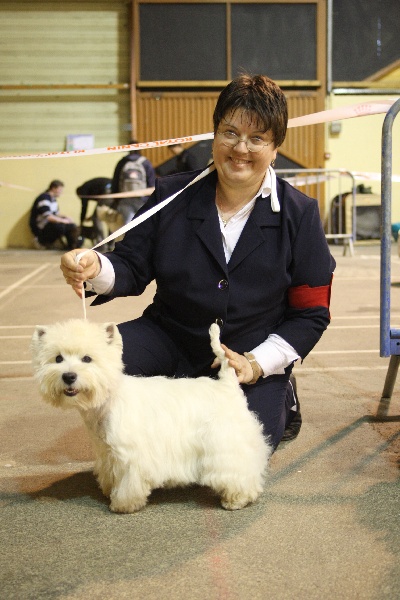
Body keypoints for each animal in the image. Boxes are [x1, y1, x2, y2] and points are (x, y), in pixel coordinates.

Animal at [29, 322, 270, 512]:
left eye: (87, 358)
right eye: (58, 358)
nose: (69, 376)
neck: (108, 399)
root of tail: (227, 384)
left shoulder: (129, 456)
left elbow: (129, 483)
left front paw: (122, 504)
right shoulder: (106, 452)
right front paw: (109, 490)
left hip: (225, 443)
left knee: (239, 469)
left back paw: (237, 499)